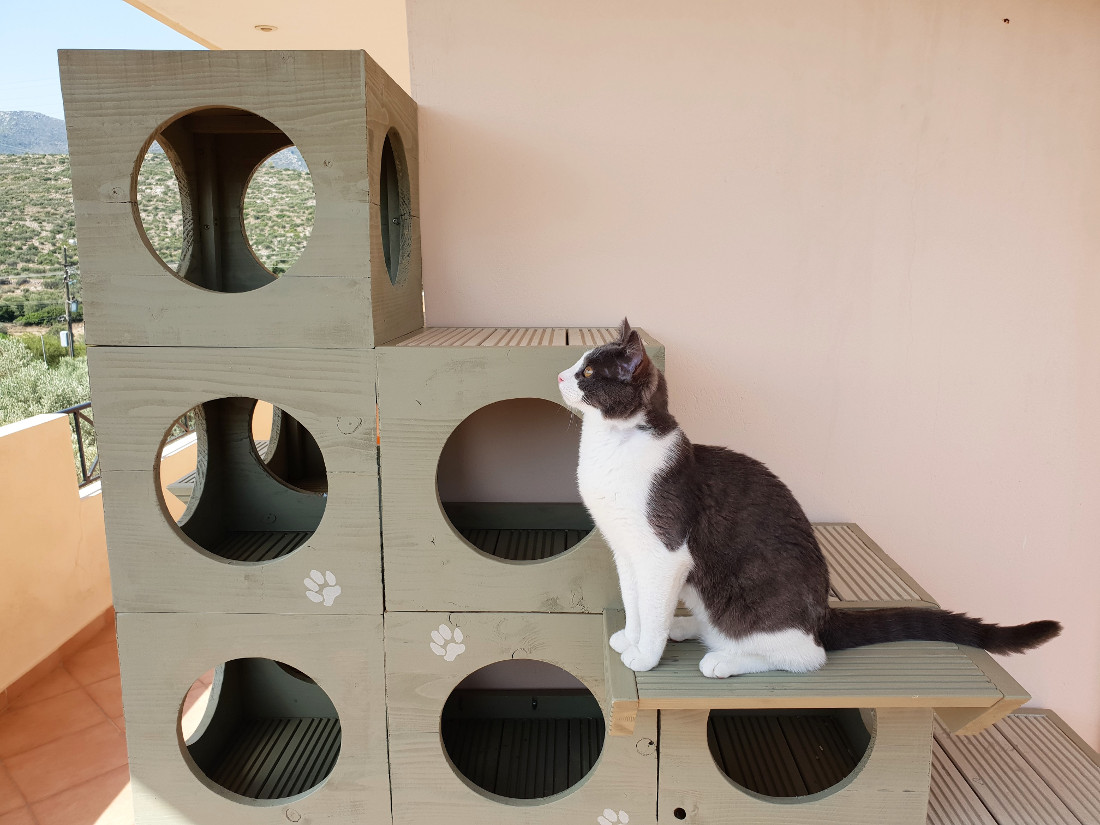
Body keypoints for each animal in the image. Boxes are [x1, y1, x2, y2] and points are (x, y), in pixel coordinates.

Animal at [557, 319, 1061, 676]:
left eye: (588, 372)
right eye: (578, 364)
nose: (561, 375)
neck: (611, 445)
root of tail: (822, 618)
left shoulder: (663, 554)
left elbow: (653, 606)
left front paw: (646, 656)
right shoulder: (627, 549)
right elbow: (637, 603)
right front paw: (633, 638)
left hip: (754, 605)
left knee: (805, 656)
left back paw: (723, 659)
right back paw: (689, 628)